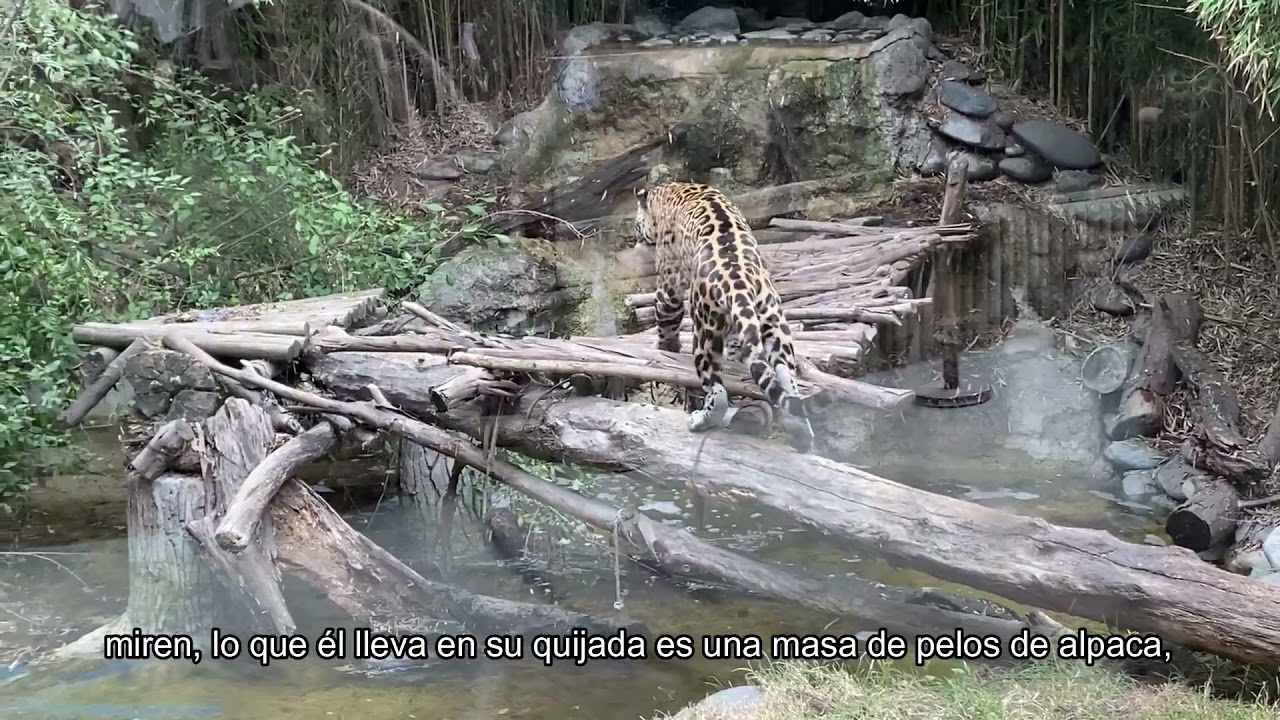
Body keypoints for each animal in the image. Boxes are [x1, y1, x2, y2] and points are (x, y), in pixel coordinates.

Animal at [632, 181, 814, 451]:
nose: (637, 234)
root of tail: (739, 282)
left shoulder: (669, 284)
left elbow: (666, 320)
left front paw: (665, 347)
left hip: (704, 330)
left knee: (716, 390)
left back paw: (700, 420)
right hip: (772, 318)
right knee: (785, 375)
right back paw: (799, 429)